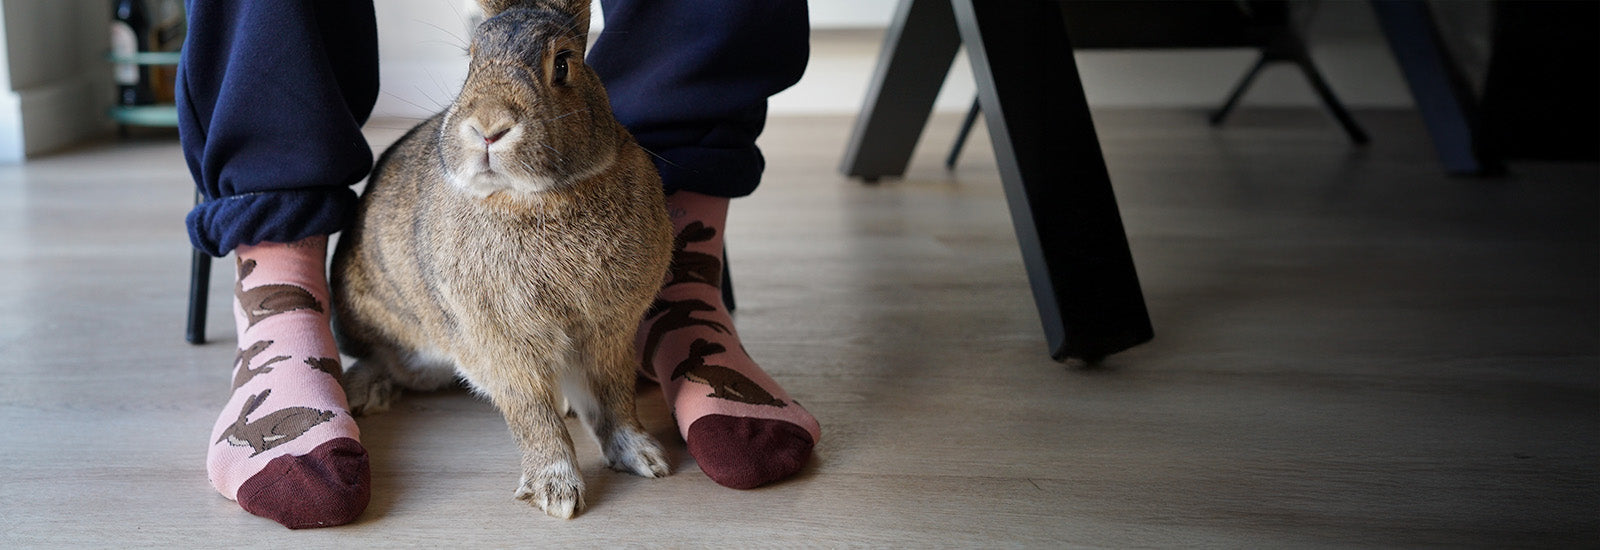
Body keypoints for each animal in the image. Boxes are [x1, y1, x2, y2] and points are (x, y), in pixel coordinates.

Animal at [329, 0, 673, 519]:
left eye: (563, 64)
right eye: (472, 62)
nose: (489, 128)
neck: (534, 199)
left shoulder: (608, 331)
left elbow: (613, 397)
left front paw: (645, 457)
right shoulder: (500, 342)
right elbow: (531, 412)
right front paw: (557, 492)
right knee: (380, 357)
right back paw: (366, 394)